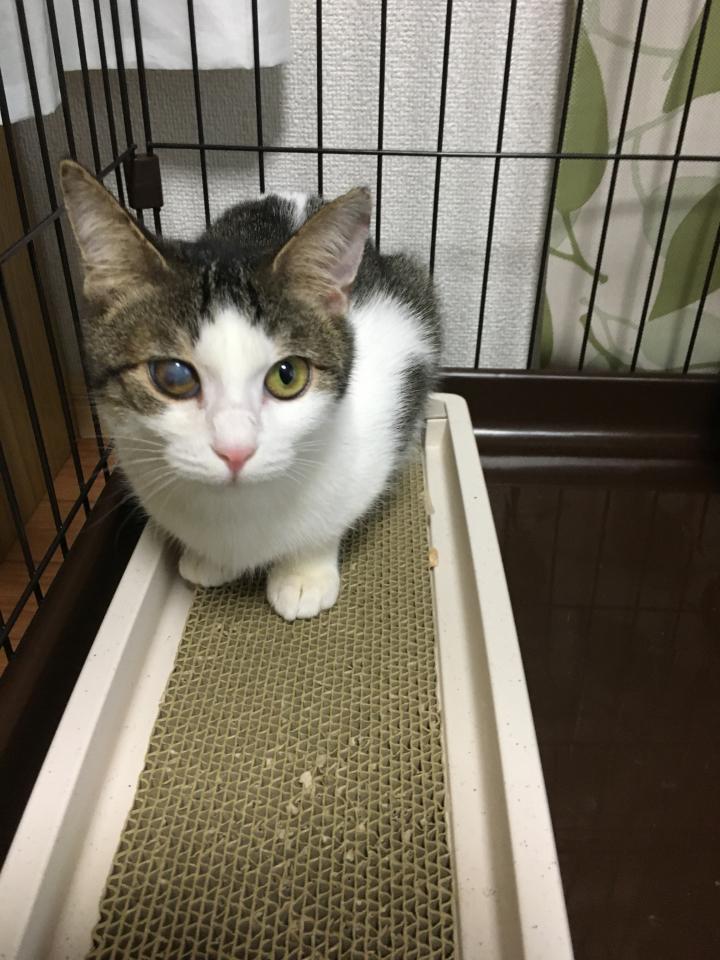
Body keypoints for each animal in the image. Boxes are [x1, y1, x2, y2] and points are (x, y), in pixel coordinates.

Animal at [60, 160, 441, 620]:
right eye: (173, 376)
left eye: (287, 375)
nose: (235, 450)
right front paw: (210, 559)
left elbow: (330, 520)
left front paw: (305, 573)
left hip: (415, 292)